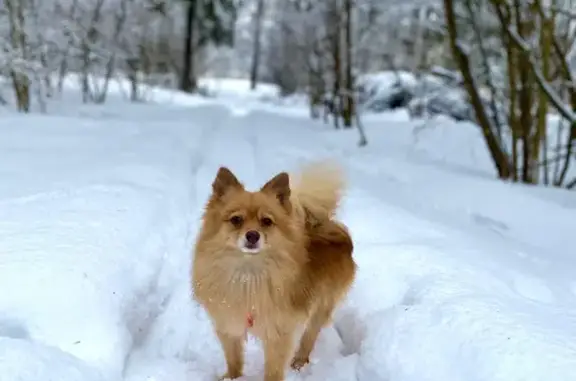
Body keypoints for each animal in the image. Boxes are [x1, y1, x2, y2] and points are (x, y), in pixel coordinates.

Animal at [192, 161, 356, 380]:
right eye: (236, 219)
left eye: (267, 221)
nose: (252, 235)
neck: (249, 274)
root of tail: (324, 224)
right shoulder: (228, 323)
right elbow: (233, 358)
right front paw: (231, 377)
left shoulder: (278, 332)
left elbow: (273, 368)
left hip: (322, 304)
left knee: (310, 335)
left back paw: (299, 361)